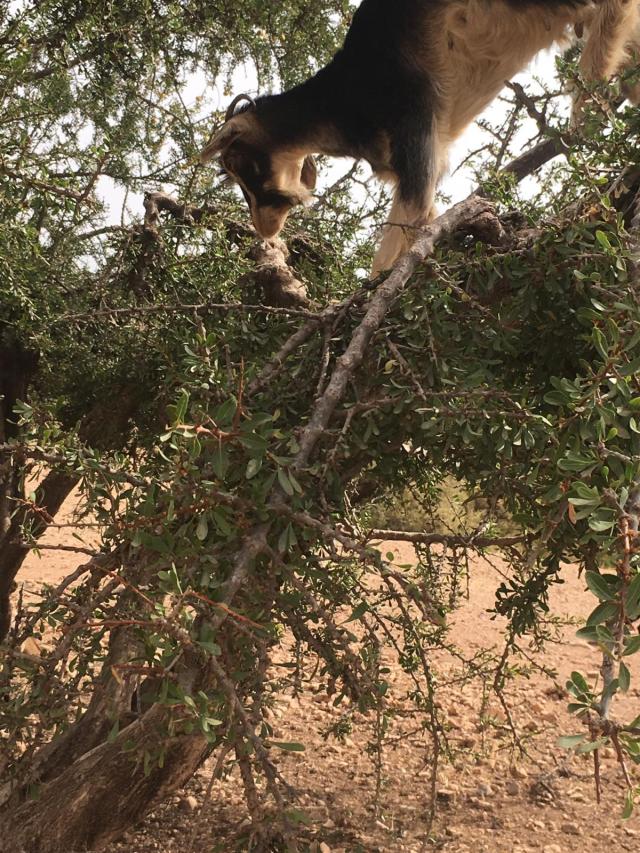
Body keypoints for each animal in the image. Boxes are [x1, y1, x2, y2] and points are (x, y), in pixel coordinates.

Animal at [202, 0, 640, 272]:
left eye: (241, 166)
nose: (264, 228)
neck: (346, 97)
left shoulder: (416, 128)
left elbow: (391, 252)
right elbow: (425, 223)